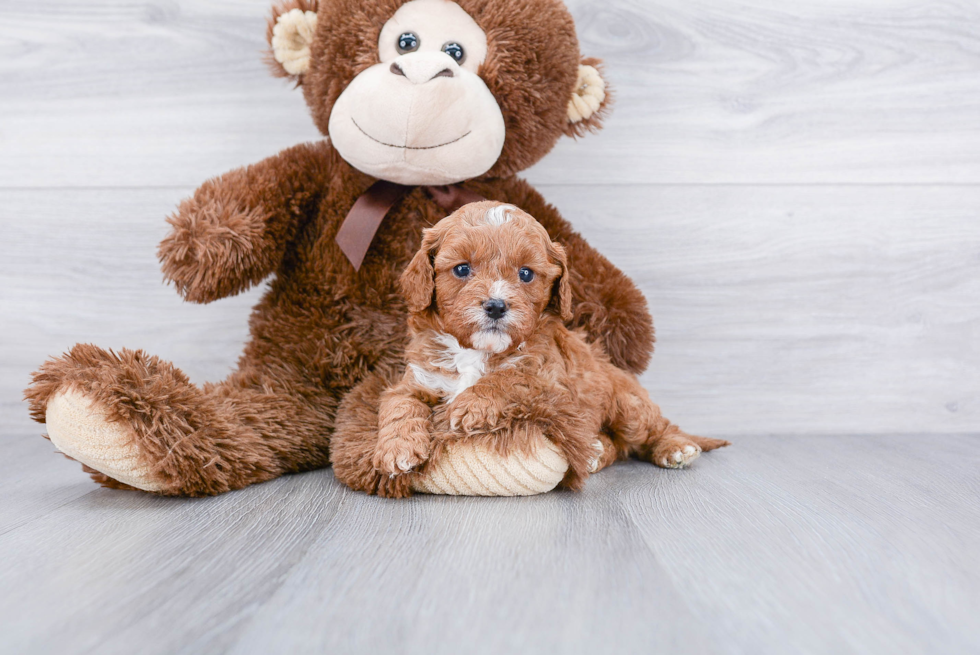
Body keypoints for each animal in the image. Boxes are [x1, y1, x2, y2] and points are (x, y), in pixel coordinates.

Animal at [374, 202, 728, 490]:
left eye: (526, 274)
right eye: (462, 269)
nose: (496, 306)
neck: (476, 351)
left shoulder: (551, 386)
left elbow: (510, 378)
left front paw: (471, 404)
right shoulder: (418, 379)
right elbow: (399, 405)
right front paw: (396, 449)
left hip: (629, 406)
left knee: (651, 429)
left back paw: (676, 447)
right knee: (616, 445)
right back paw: (595, 452)